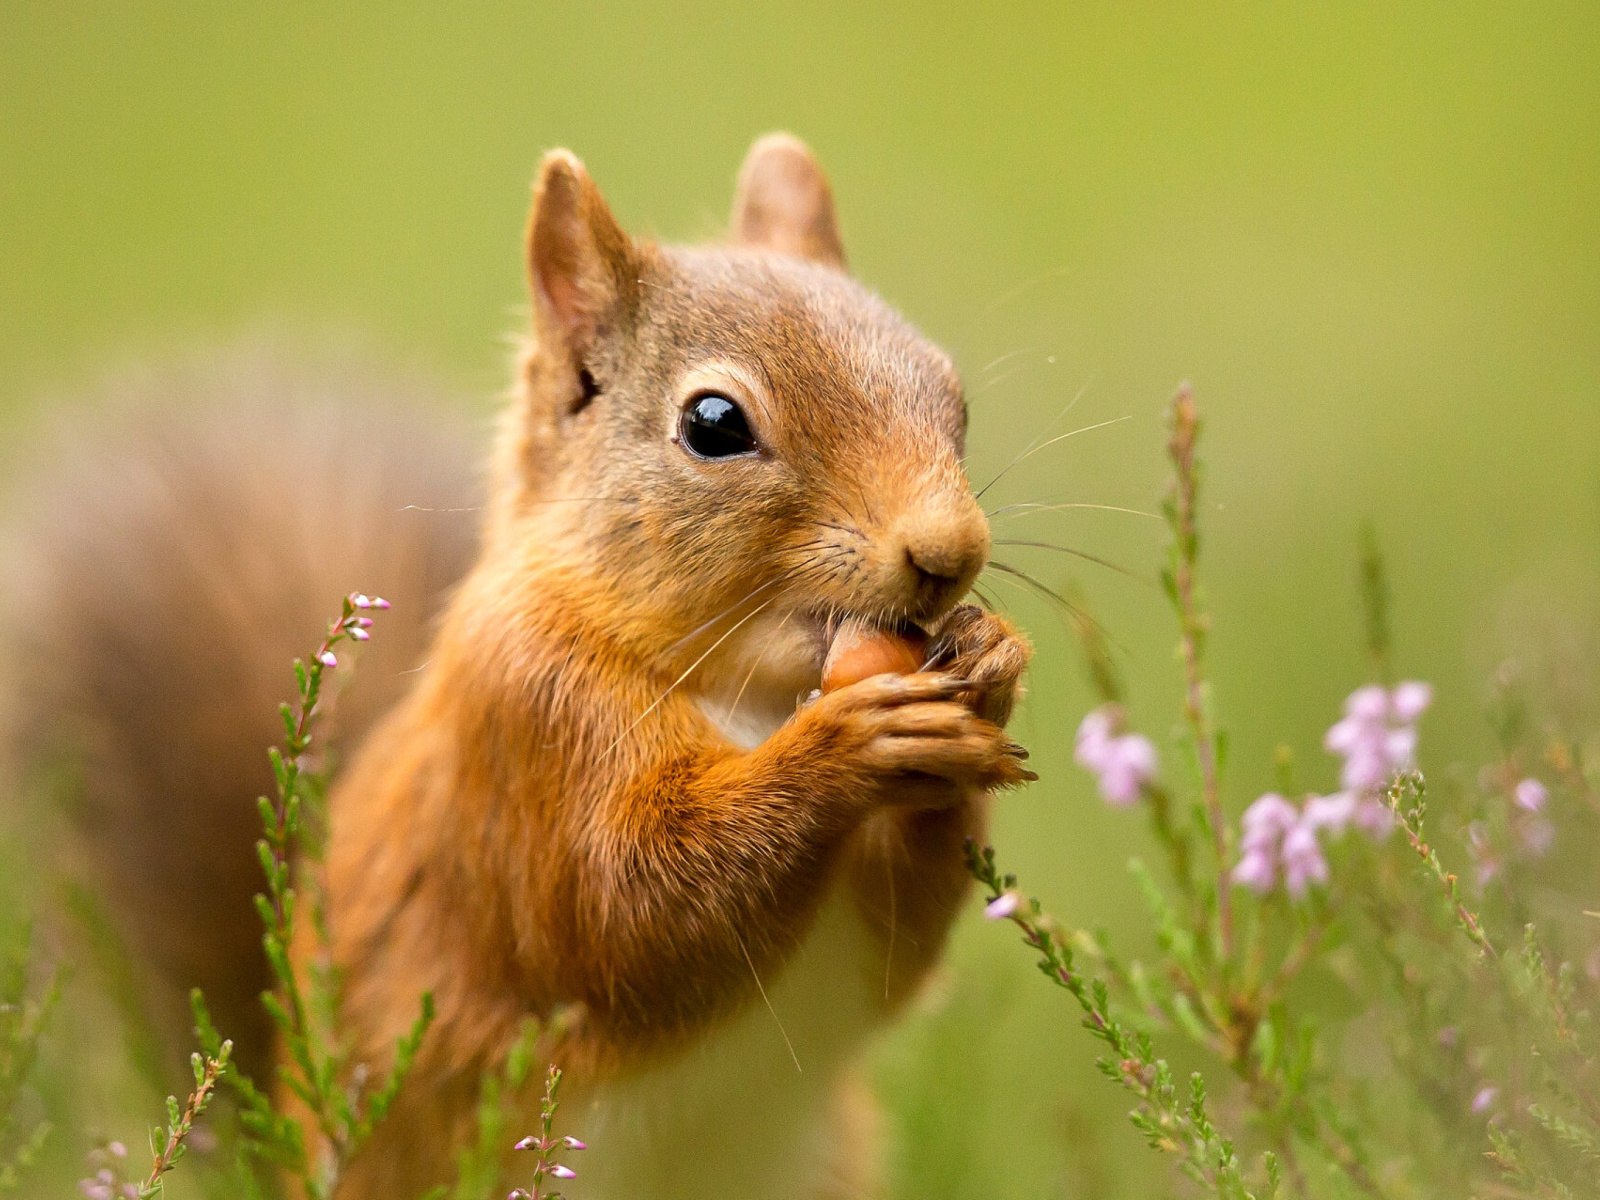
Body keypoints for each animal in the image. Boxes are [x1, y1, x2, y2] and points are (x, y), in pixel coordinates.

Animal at [9, 133, 1036, 1200]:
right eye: (714, 424)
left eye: (953, 394)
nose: (950, 551)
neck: (746, 691)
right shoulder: (529, 722)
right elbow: (633, 908)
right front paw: (850, 744)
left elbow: (897, 945)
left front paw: (991, 663)